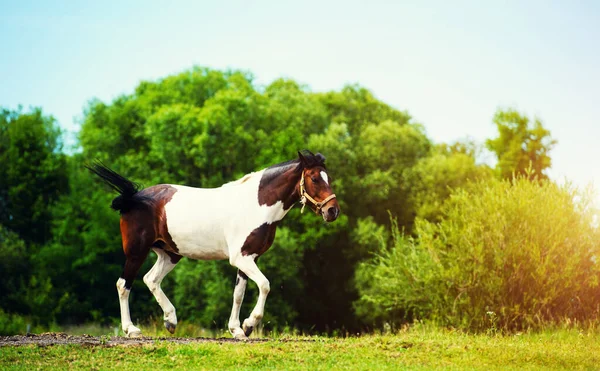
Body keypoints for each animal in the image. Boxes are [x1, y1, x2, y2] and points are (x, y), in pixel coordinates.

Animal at [85, 150, 340, 340]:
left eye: (328, 177)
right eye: (315, 178)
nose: (332, 211)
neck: (257, 205)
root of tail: (134, 197)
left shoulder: (249, 258)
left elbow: (238, 294)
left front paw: (237, 329)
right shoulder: (241, 258)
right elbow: (265, 285)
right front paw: (249, 324)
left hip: (170, 253)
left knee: (151, 279)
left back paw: (170, 320)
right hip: (136, 252)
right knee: (123, 285)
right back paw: (132, 330)